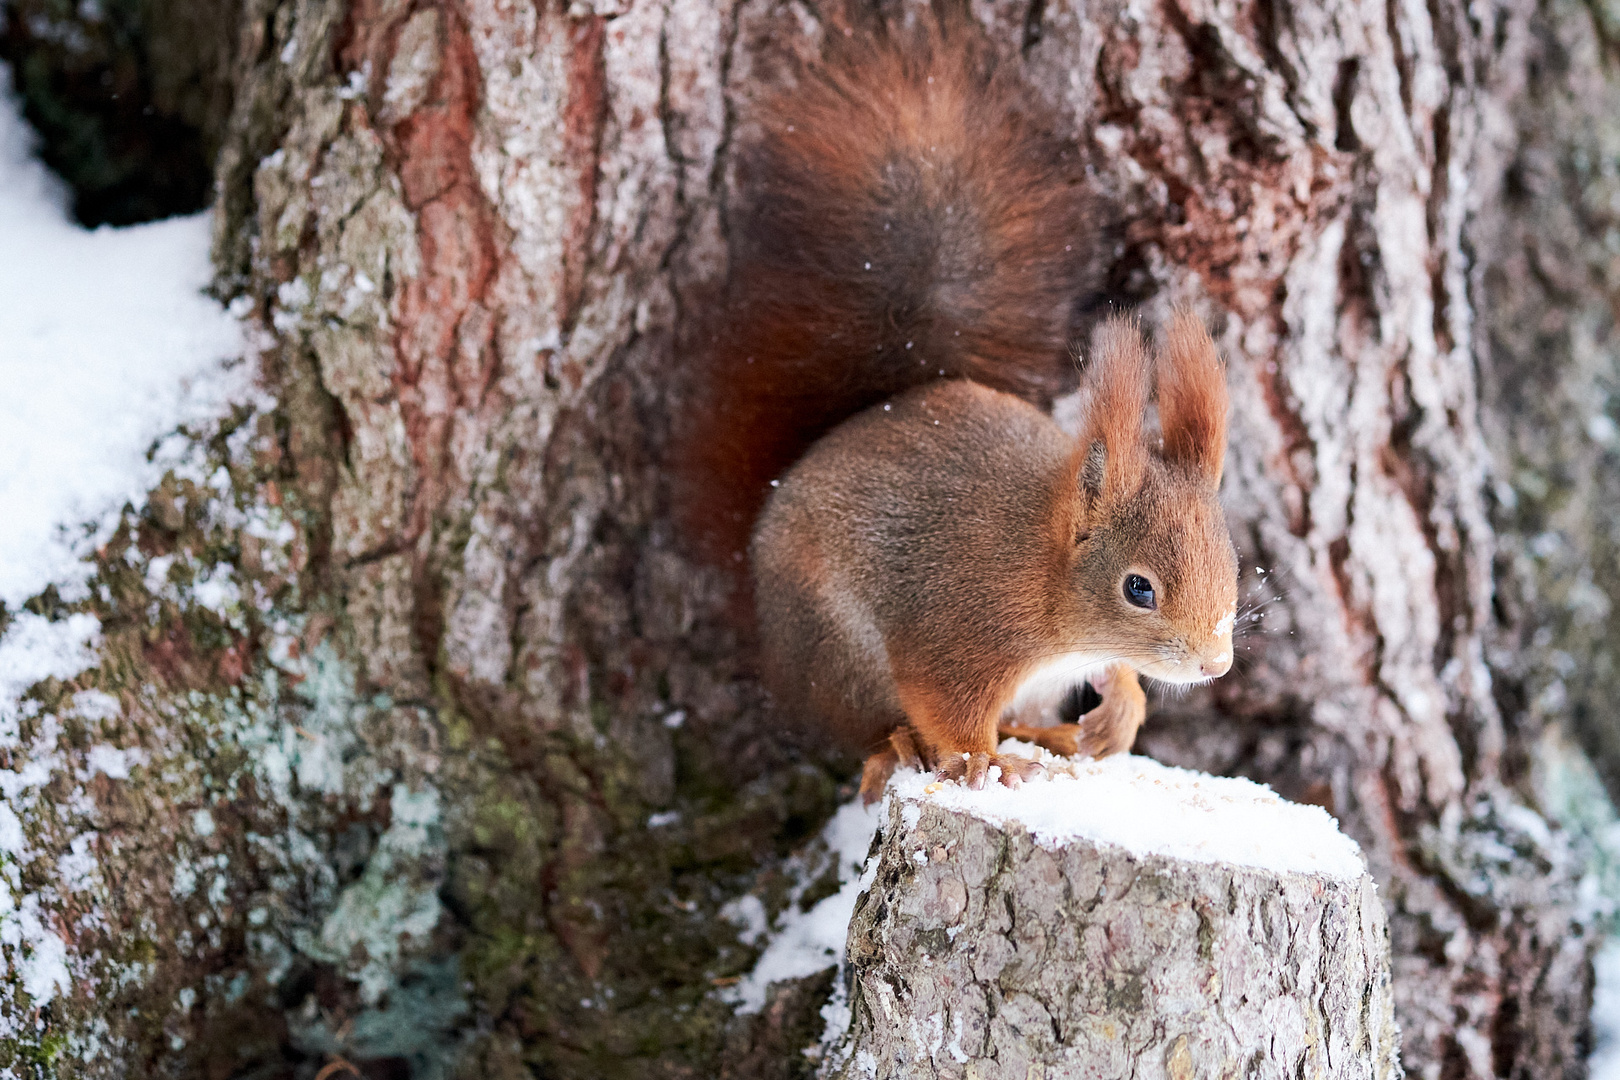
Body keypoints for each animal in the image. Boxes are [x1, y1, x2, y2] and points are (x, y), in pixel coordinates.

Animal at [686, 21, 1237, 799]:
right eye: (1139, 589)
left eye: (1231, 560)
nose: (1215, 664)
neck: (1048, 578)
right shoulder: (963, 629)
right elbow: (948, 702)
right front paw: (982, 760)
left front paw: (1121, 709)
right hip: (838, 649)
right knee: (863, 724)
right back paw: (901, 744)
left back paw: (1046, 733)